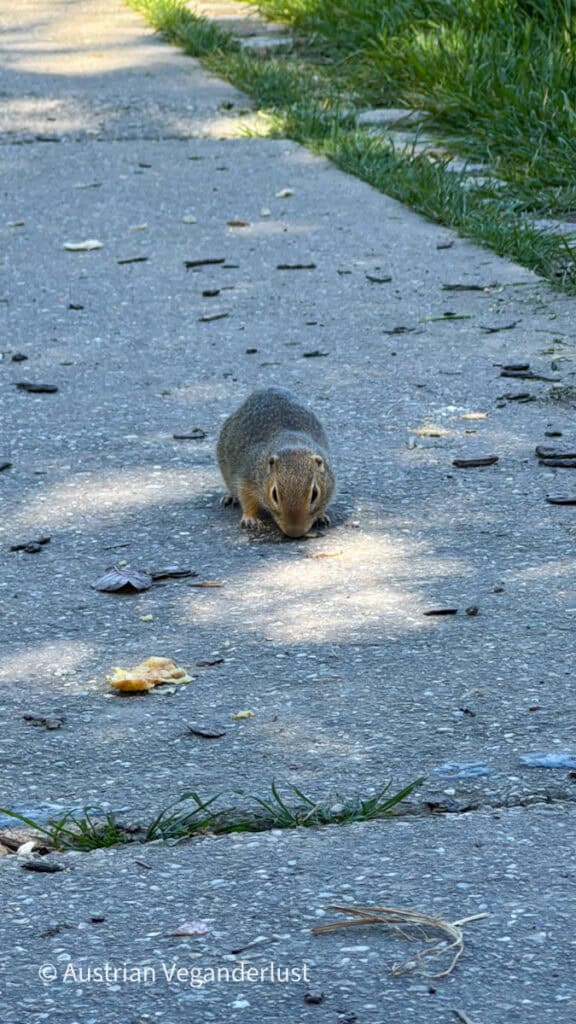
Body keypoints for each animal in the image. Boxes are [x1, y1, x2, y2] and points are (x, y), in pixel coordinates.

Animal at [217, 386, 335, 538]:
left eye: (315, 493)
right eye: (274, 494)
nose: (294, 532)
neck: (292, 443)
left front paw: (321, 516)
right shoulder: (248, 476)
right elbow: (246, 498)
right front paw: (250, 519)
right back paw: (231, 497)